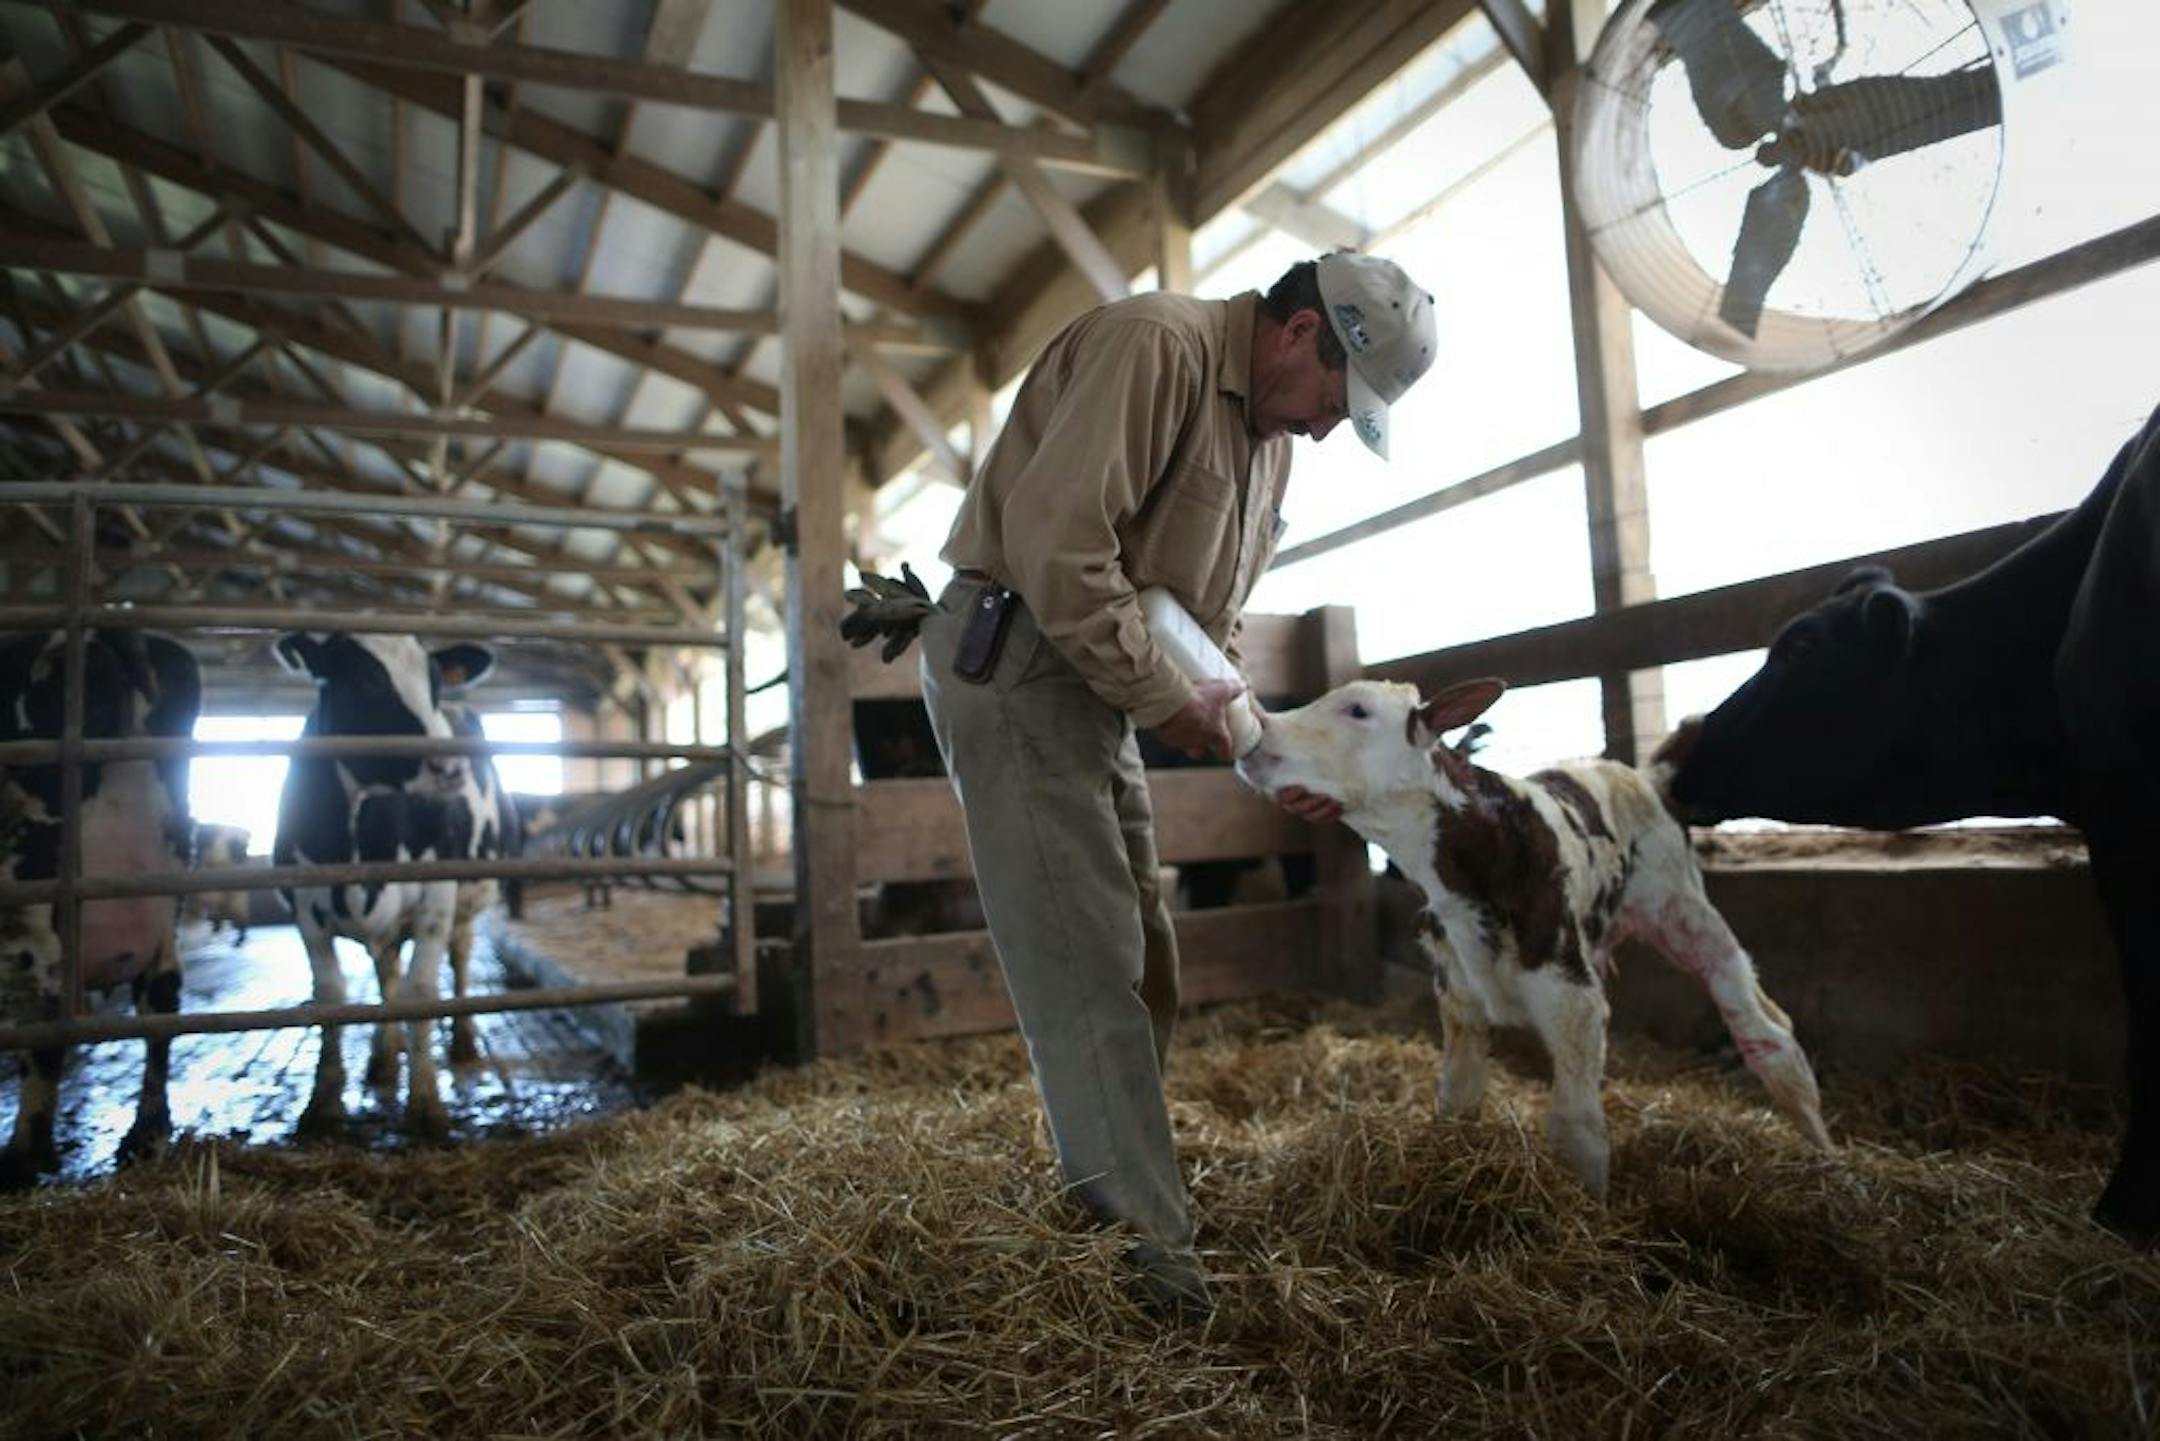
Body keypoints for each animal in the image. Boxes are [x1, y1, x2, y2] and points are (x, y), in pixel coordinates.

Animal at [1, 629, 201, 1186]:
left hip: (35, 896)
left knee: (43, 1022)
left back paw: (24, 1156)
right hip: (163, 894)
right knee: (162, 1000)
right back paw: (145, 1135)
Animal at [272, 633, 505, 1139]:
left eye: (435, 684)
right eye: (364, 680)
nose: (451, 767)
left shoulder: (437, 898)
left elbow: (421, 990)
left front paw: (426, 1105)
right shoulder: (303, 906)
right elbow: (331, 995)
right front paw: (323, 1105)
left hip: (468, 899)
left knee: (457, 958)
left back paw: (461, 1041)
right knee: (386, 970)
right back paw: (384, 1056)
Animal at [1239, 677, 1831, 1197]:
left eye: (1358, 710)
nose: (1256, 732)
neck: (1469, 858)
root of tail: (1644, 777)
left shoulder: (1571, 995)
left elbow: (1575, 1129)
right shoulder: (1458, 993)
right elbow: (1458, 1098)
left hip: (1681, 907)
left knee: (1768, 1034)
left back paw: (1829, 1164)